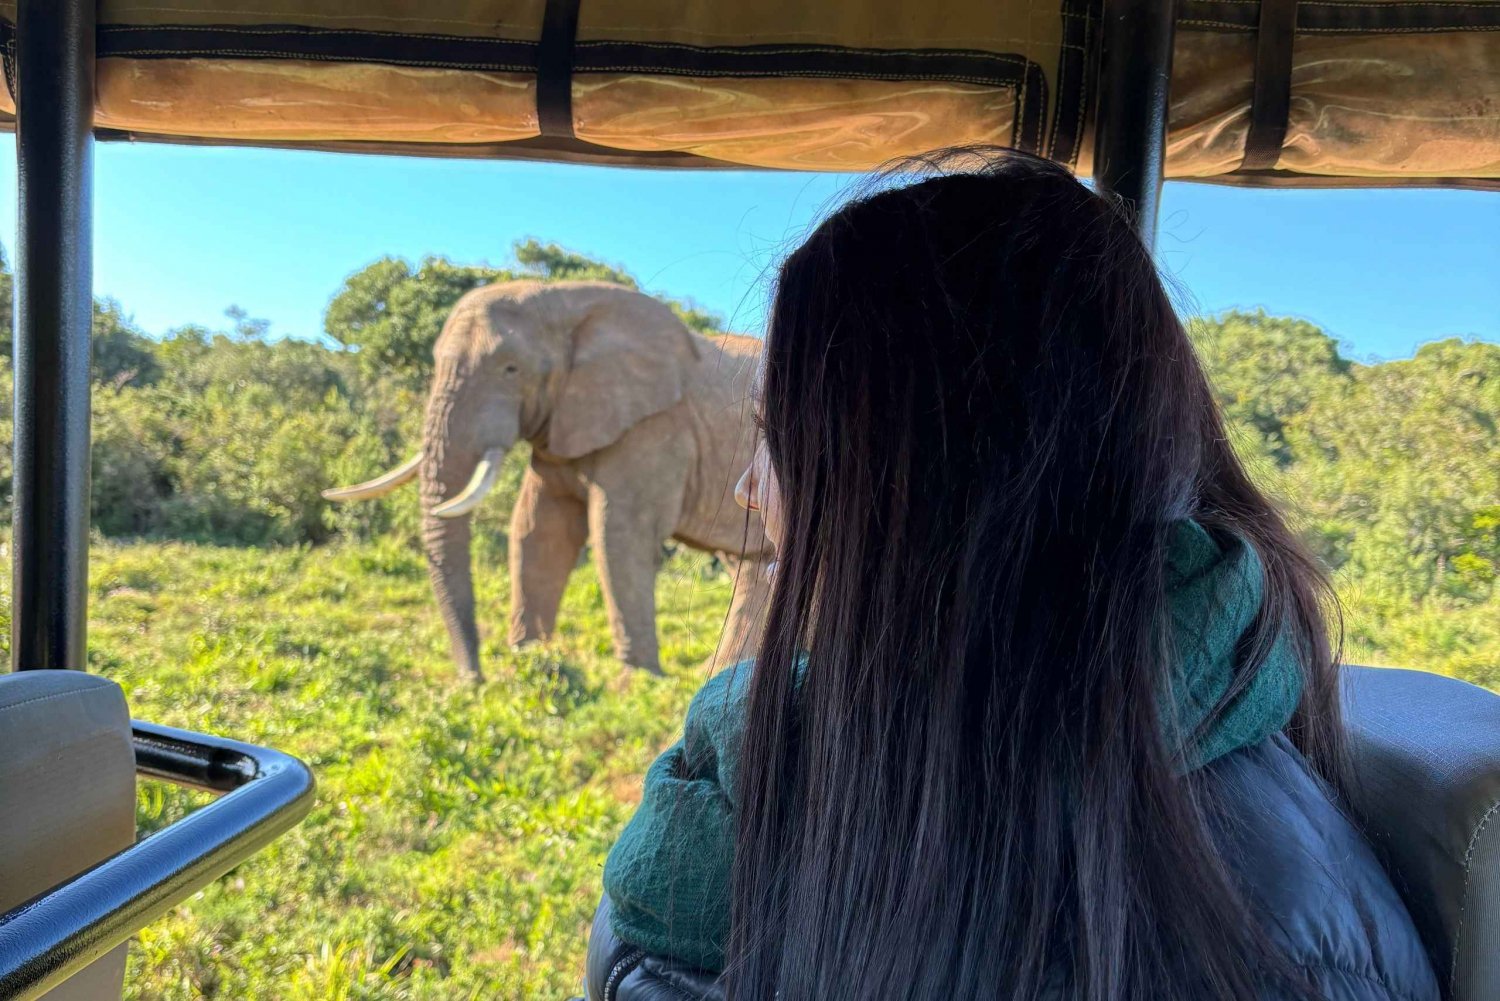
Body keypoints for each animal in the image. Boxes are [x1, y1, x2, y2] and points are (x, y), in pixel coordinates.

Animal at [327, 282, 774, 681]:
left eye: (510, 369)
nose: (474, 681)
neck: (566, 302)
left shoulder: (654, 429)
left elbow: (619, 537)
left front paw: (636, 683)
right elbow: (539, 529)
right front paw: (527, 659)